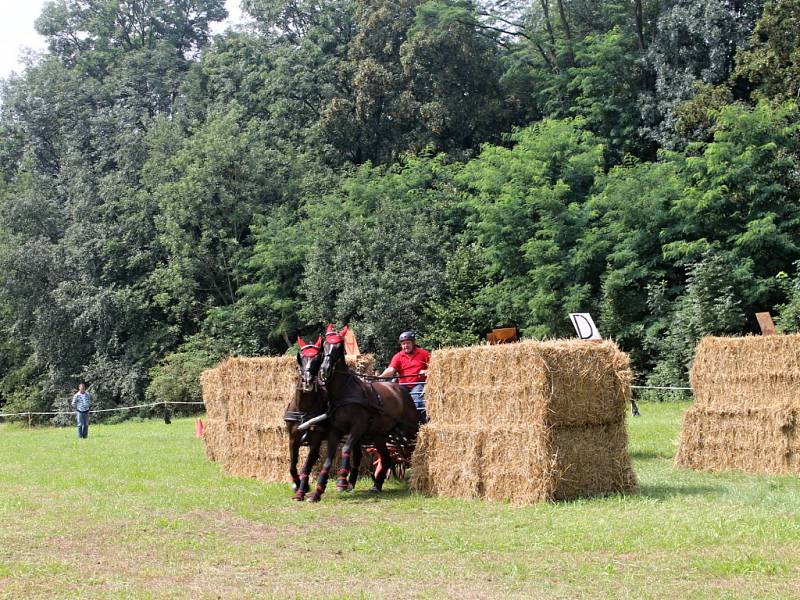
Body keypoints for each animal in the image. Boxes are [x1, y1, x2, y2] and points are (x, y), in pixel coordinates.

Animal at [282, 336, 364, 500]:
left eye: (317, 358)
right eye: (301, 357)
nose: (307, 381)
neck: (303, 409)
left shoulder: (315, 441)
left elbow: (306, 466)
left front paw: (302, 489)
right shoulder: (293, 438)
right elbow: (292, 465)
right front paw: (298, 485)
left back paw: (346, 482)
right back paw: (350, 483)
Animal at [308, 324, 418, 502]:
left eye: (339, 346)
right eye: (324, 345)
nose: (324, 369)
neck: (344, 391)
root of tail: (401, 388)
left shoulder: (357, 428)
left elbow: (346, 449)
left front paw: (342, 482)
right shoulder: (335, 430)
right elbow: (329, 459)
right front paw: (317, 492)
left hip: (411, 428)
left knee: (413, 447)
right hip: (380, 435)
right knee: (386, 458)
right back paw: (377, 485)